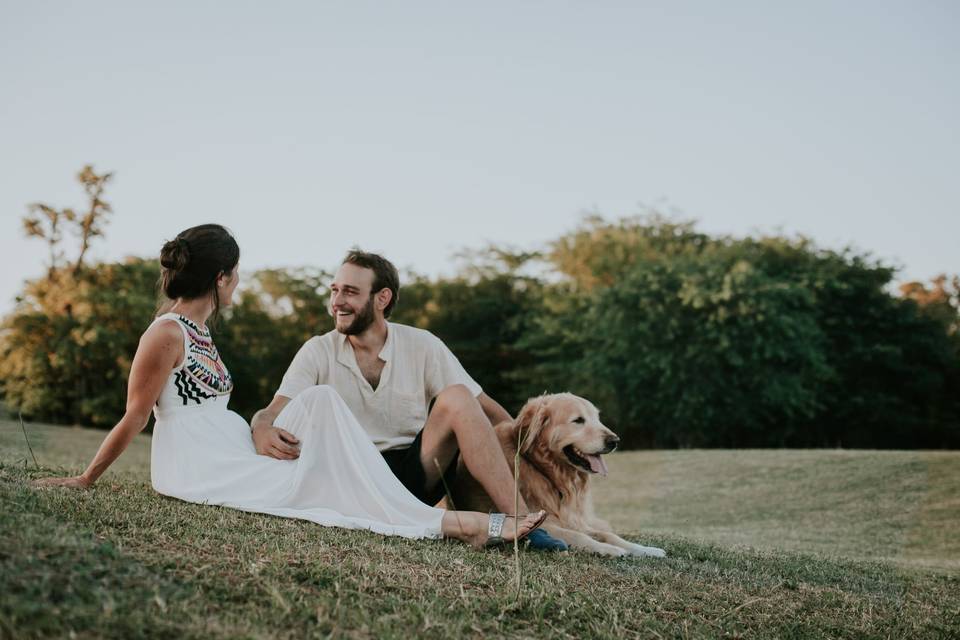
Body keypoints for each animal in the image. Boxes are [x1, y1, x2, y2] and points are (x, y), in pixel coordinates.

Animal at [452, 392, 668, 556]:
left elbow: (608, 535)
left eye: (597, 418)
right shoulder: (547, 523)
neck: (545, 472)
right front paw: (610, 550)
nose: (615, 441)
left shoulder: (573, 520)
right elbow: (581, 536)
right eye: (578, 420)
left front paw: (646, 549)